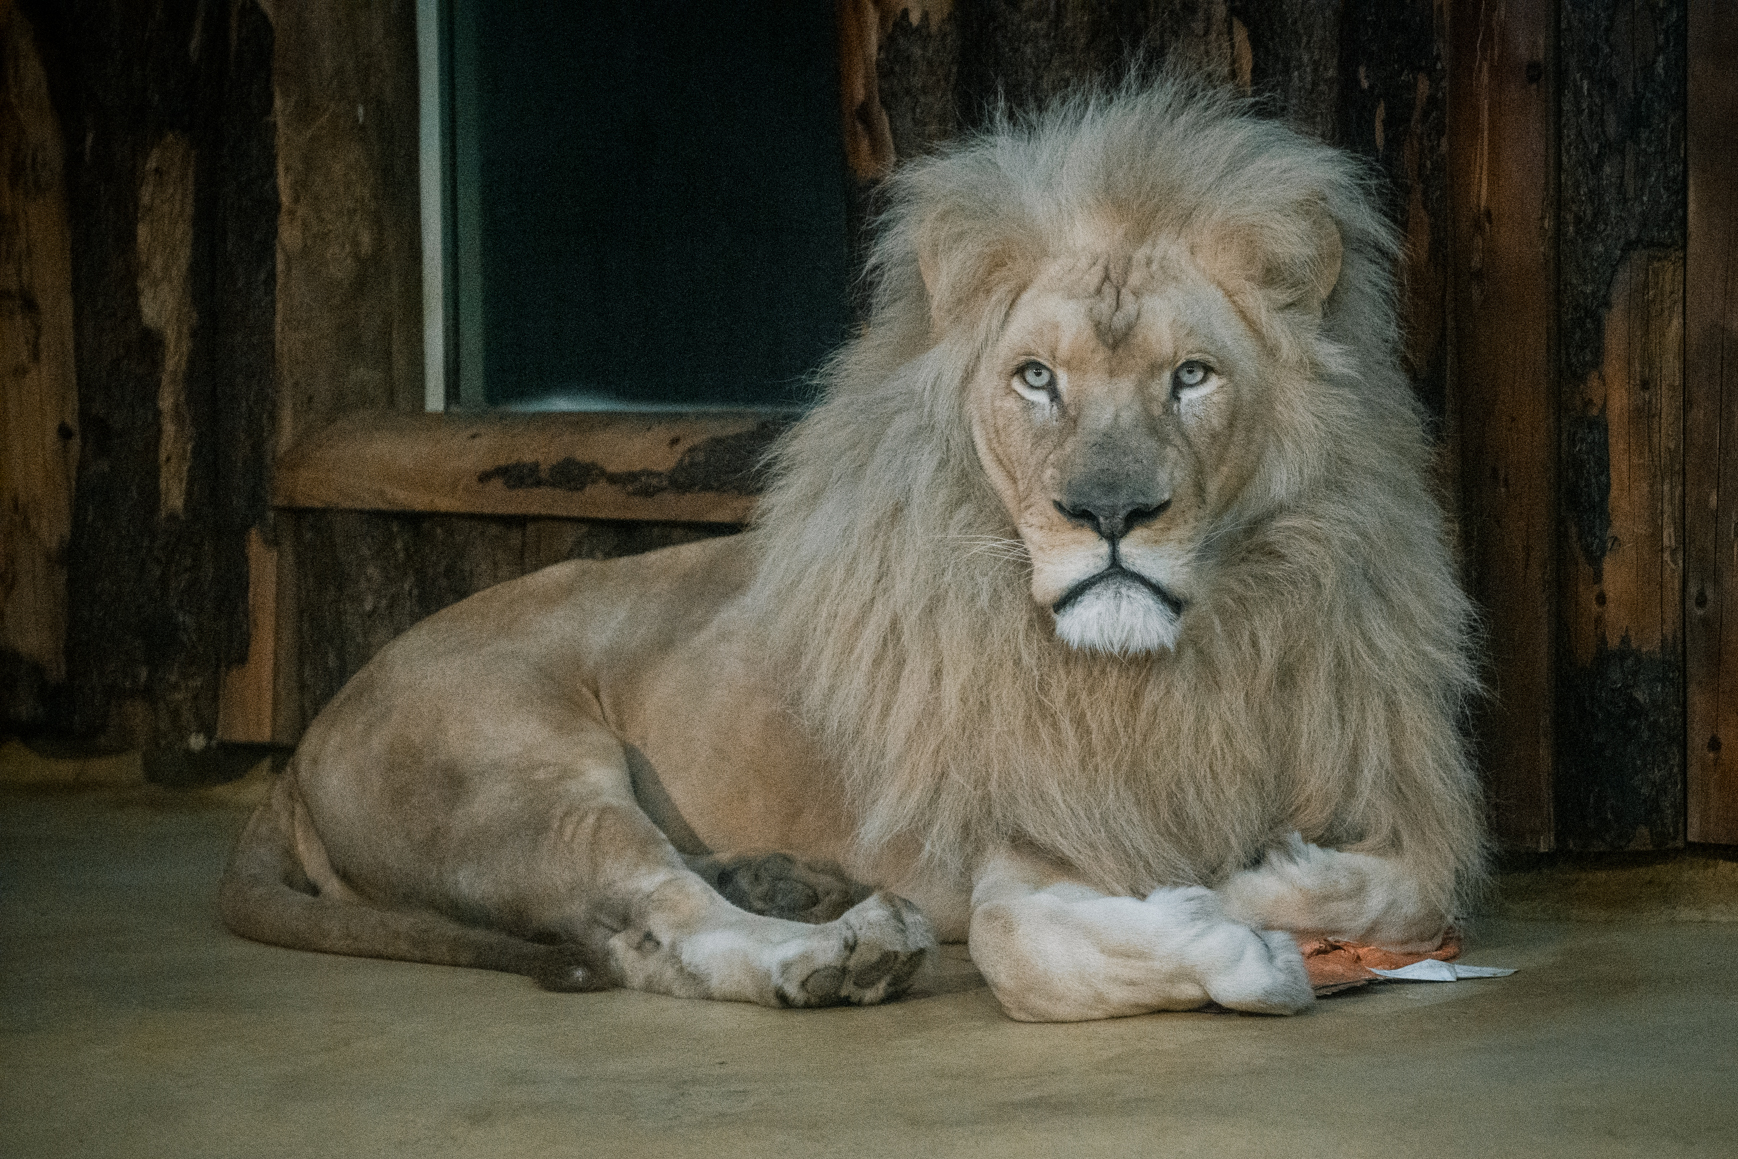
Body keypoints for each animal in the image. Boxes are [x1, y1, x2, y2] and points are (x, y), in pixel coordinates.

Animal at [222, 79, 1486, 1021]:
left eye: (1192, 375)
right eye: (1037, 377)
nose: (1108, 513)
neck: (1178, 664)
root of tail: (301, 747)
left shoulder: (1395, 787)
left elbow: (1413, 885)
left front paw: (1270, 881)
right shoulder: (1015, 844)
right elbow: (1027, 948)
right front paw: (1229, 932)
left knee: (635, 939)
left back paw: (787, 887)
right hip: (523, 777)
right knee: (658, 917)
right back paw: (828, 954)